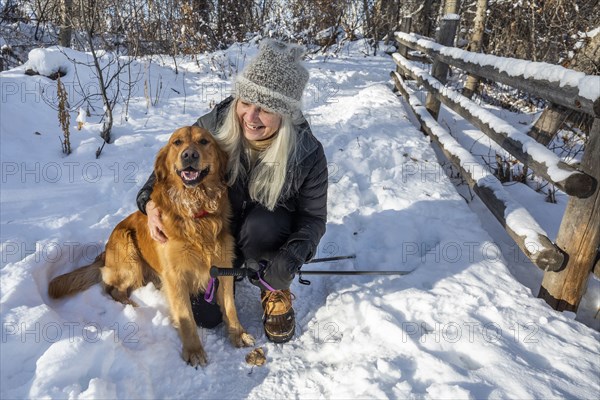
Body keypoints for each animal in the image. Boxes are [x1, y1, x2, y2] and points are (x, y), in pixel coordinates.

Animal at [47, 126, 253, 368]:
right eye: (177, 142)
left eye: (204, 141)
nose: (189, 155)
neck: (194, 212)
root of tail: (104, 253)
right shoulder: (175, 275)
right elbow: (186, 316)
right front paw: (193, 350)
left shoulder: (222, 267)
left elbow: (230, 306)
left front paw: (238, 334)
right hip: (129, 254)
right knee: (112, 289)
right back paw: (134, 307)